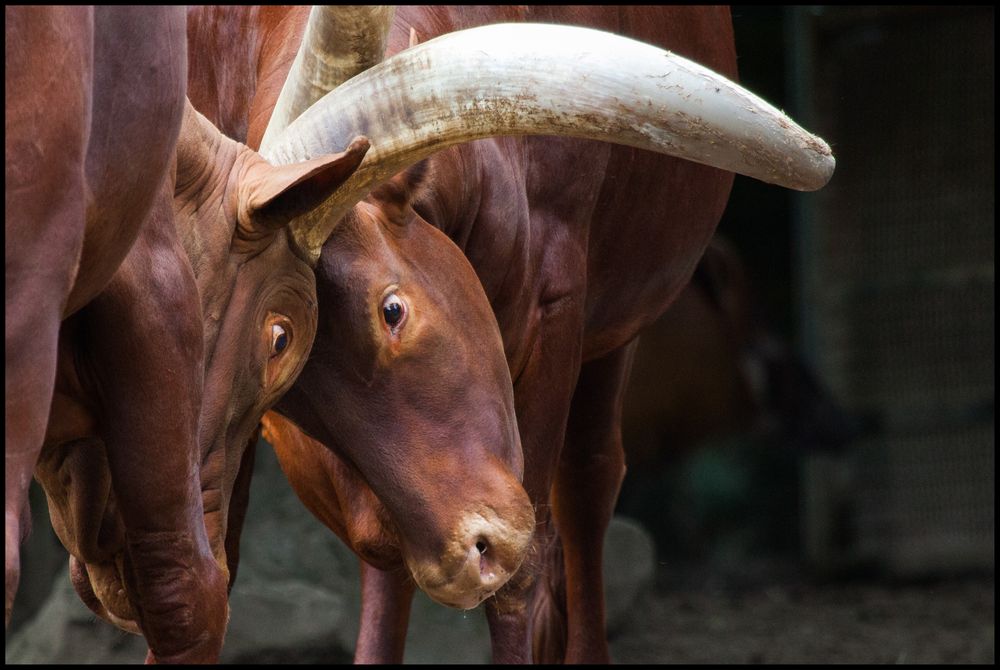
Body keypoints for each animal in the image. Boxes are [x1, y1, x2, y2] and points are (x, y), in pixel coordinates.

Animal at [184, 5, 832, 668]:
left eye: (392, 310)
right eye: (282, 369)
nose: (469, 552)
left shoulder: (558, 314)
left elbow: (526, 569)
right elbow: (230, 553)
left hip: (617, 329)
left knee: (588, 483)